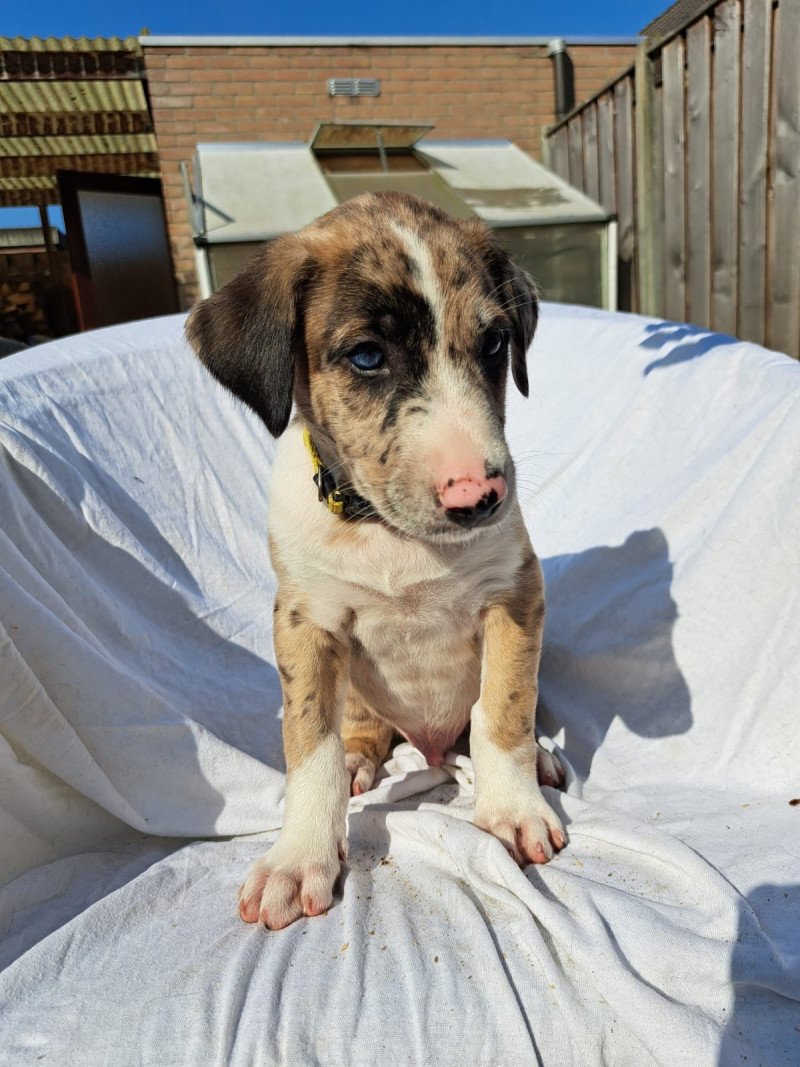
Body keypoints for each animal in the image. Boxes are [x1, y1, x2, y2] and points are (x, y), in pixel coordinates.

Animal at [187, 192, 567, 926]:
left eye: (494, 343)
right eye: (367, 355)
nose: (479, 497)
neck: (388, 532)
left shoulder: (515, 595)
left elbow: (505, 710)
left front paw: (513, 806)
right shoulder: (303, 620)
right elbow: (311, 744)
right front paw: (298, 856)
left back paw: (540, 761)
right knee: (359, 729)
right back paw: (364, 760)